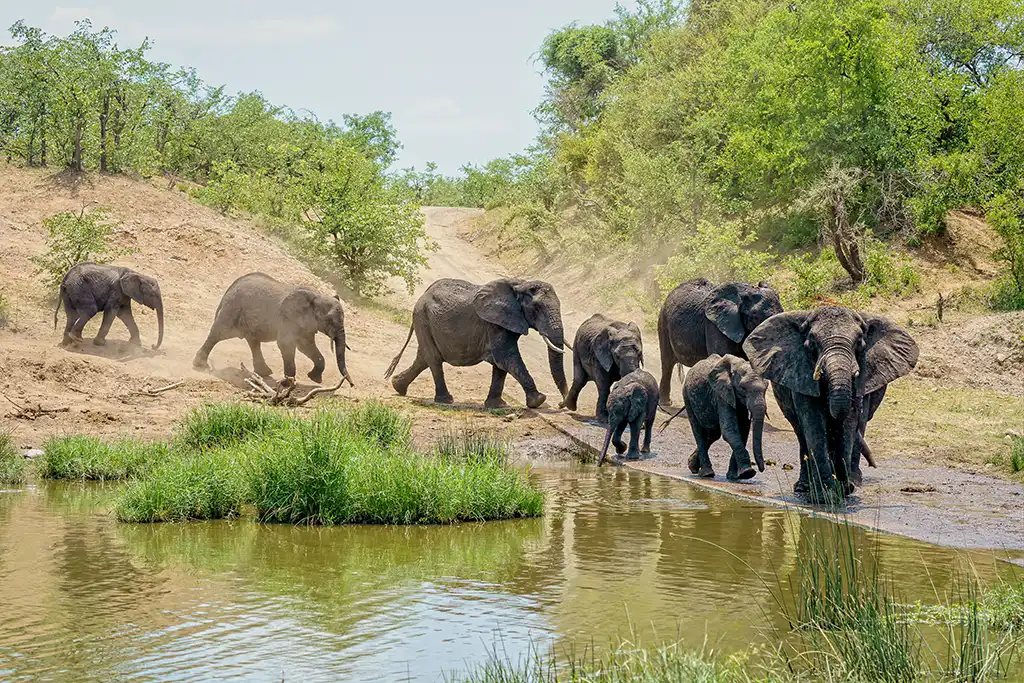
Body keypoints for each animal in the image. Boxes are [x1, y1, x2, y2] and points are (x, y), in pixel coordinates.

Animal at [192, 272, 352, 386]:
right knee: (218, 334)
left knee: (253, 342)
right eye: (329, 320)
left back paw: (264, 373)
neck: (316, 296)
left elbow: (305, 346)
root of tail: (233, 285)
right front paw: (287, 384)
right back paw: (201, 366)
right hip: (232, 308)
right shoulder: (288, 319)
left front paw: (314, 379)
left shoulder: (305, 324)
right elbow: (286, 344)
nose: (351, 384)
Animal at [385, 278, 568, 409]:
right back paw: (445, 401)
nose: (561, 404)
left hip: (424, 322)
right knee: (433, 359)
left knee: (423, 359)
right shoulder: (494, 324)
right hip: (422, 318)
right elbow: (506, 358)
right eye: (537, 308)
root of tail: (423, 294)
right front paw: (538, 401)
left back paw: (397, 386)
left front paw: (497, 406)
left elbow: (502, 363)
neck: (519, 284)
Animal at [743, 307, 918, 501]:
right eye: (812, 343)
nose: (845, 486)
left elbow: (849, 421)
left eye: (859, 343)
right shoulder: (801, 373)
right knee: (801, 432)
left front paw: (842, 490)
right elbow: (814, 422)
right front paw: (824, 495)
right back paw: (805, 487)